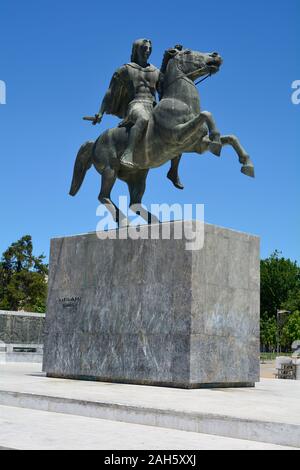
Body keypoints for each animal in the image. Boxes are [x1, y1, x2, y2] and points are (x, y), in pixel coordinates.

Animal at [69, 46, 254, 223]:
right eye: (187, 52)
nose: (215, 55)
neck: (181, 102)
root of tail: (95, 142)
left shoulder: (197, 145)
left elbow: (231, 137)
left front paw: (246, 164)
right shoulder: (177, 135)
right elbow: (206, 114)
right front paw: (217, 141)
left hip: (138, 176)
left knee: (134, 202)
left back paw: (156, 222)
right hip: (110, 170)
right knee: (103, 196)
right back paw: (124, 222)